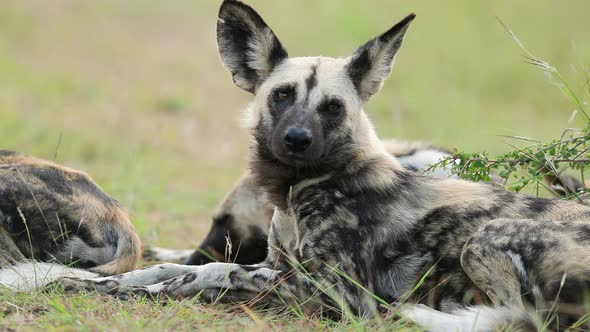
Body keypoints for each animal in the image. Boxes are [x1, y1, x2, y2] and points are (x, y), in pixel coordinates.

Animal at [49, 1, 590, 330]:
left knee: (519, 319)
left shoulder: (339, 295)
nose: (296, 139)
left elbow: (216, 271)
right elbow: (164, 269)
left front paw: (166, 288)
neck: (296, 194)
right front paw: (96, 283)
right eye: (282, 95)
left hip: (486, 239)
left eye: (332, 107)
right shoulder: (272, 263)